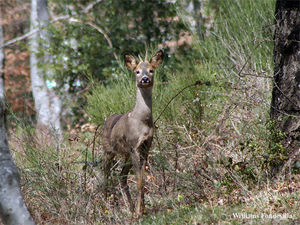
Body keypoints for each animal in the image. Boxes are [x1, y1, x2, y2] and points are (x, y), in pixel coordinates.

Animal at [102, 49, 164, 216]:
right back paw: (106, 207)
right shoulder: (134, 145)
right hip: (108, 150)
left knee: (121, 176)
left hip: (126, 154)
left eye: (151, 70)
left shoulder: (146, 146)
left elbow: (142, 178)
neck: (142, 120)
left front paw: (141, 210)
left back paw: (128, 208)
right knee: (104, 174)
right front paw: (139, 212)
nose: (144, 79)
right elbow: (139, 180)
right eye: (137, 71)